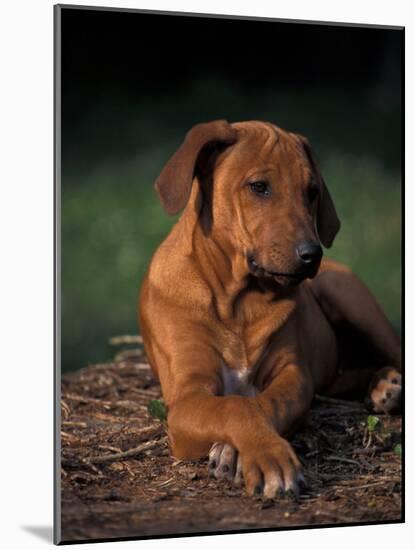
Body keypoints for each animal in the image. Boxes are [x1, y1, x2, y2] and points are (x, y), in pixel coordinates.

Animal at [138, 121, 402, 500]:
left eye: (311, 192)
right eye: (259, 187)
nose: (312, 255)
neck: (238, 301)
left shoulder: (293, 376)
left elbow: (260, 404)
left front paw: (245, 452)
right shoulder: (187, 396)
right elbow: (236, 405)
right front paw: (261, 455)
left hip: (349, 295)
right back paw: (381, 385)